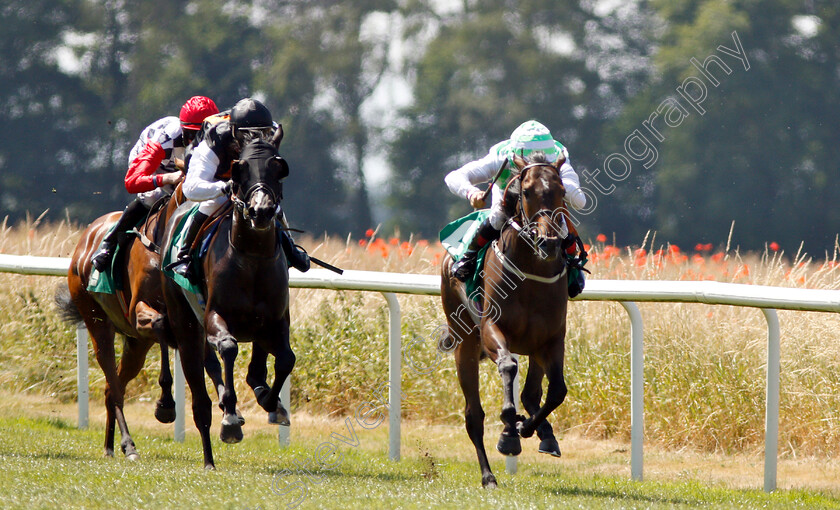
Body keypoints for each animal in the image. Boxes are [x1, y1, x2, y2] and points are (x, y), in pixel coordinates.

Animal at [162, 137, 296, 468]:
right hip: (185, 323)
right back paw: (210, 455)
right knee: (200, 394)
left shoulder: (276, 320)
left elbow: (286, 359)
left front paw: (271, 403)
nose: (261, 211)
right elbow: (228, 348)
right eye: (240, 168)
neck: (252, 258)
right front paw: (231, 421)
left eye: (278, 167)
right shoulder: (214, 316)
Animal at [440, 150, 572, 486]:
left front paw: (526, 427)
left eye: (561, 191)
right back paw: (488, 475)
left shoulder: (551, 339)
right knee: (473, 415)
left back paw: (544, 434)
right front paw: (509, 433)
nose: (549, 242)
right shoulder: (492, 328)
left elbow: (557, 391)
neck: (531, 274)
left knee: (531, 393)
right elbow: (509, 365)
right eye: (526, 192)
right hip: (464, 341)